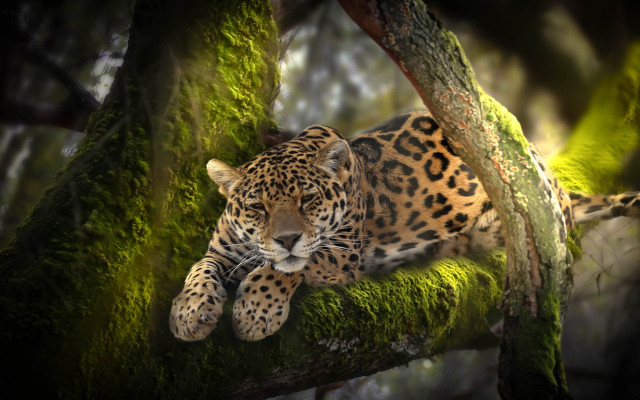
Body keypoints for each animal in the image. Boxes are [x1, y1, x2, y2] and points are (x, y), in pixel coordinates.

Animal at [169, 110, 640, 341]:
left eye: (308, 200)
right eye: (257, 207)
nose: (286, 238)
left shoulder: (340, 255)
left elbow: (281, 268)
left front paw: (255, 312)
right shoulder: (220, 251)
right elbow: (199, 270)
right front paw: (189, 312)